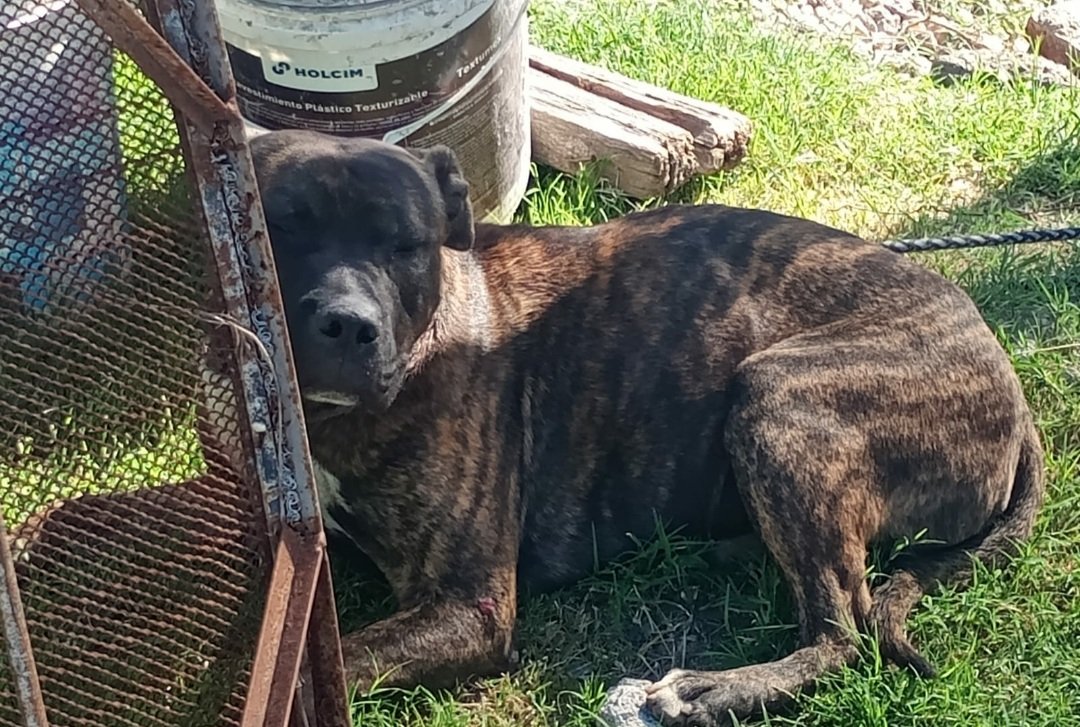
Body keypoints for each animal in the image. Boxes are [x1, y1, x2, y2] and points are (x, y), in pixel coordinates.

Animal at [249, 128, 1044, 726]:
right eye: (281, 227)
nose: (348, 323)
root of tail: (1005, 375)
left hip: (776, 396)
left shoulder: (468, 604)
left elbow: (338, 661)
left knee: (841, 631)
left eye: (404, 245)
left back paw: (713, 690)